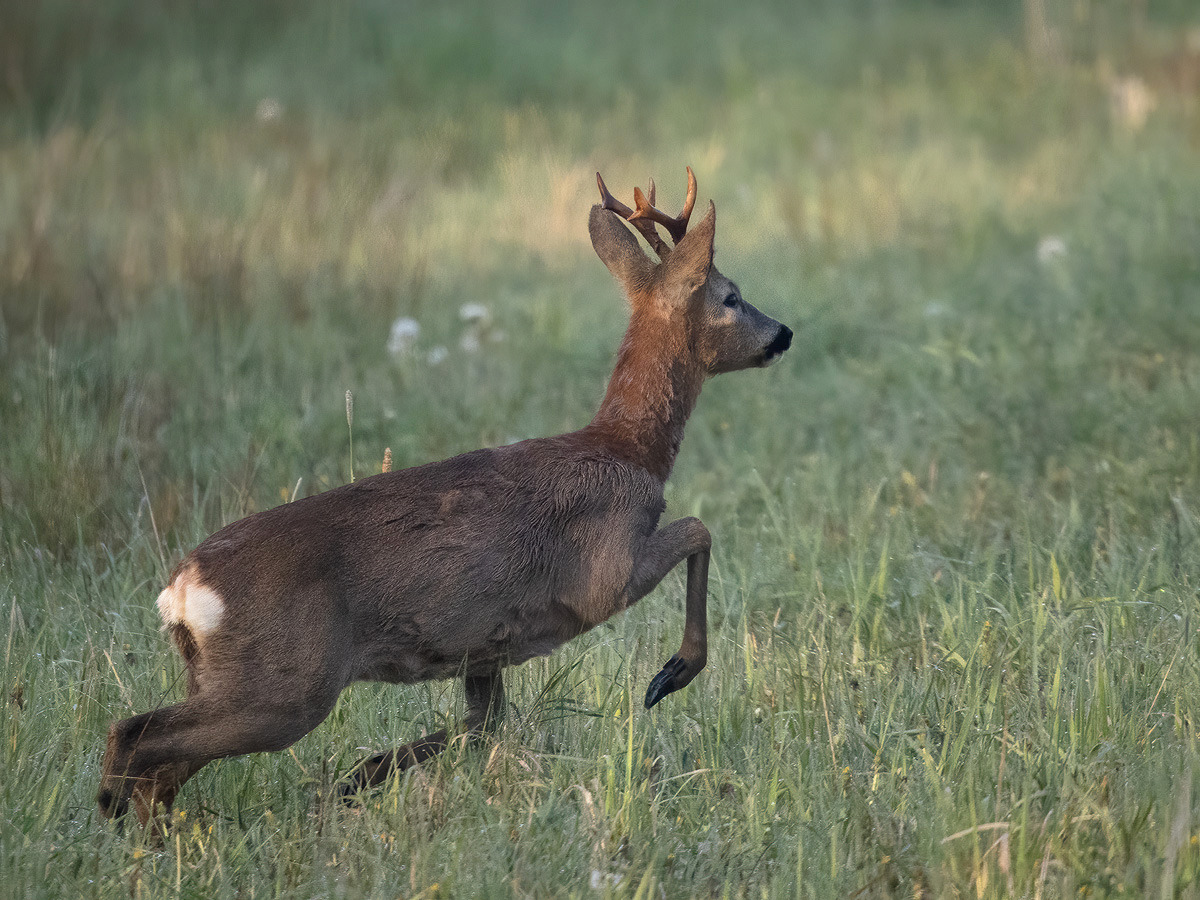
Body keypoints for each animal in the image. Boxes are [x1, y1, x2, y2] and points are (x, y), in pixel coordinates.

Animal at [98, 169, 792, 830]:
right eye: (730, 296)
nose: (783, 333)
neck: (628, 450)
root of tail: (182, 591)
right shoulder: (604, 572)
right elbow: (699, 528)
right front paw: (671, 674)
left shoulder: (486, 646)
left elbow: (483, 725)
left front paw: (361, 774)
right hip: (286, 686)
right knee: (134, 738)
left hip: (224, 678)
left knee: (157, 768)